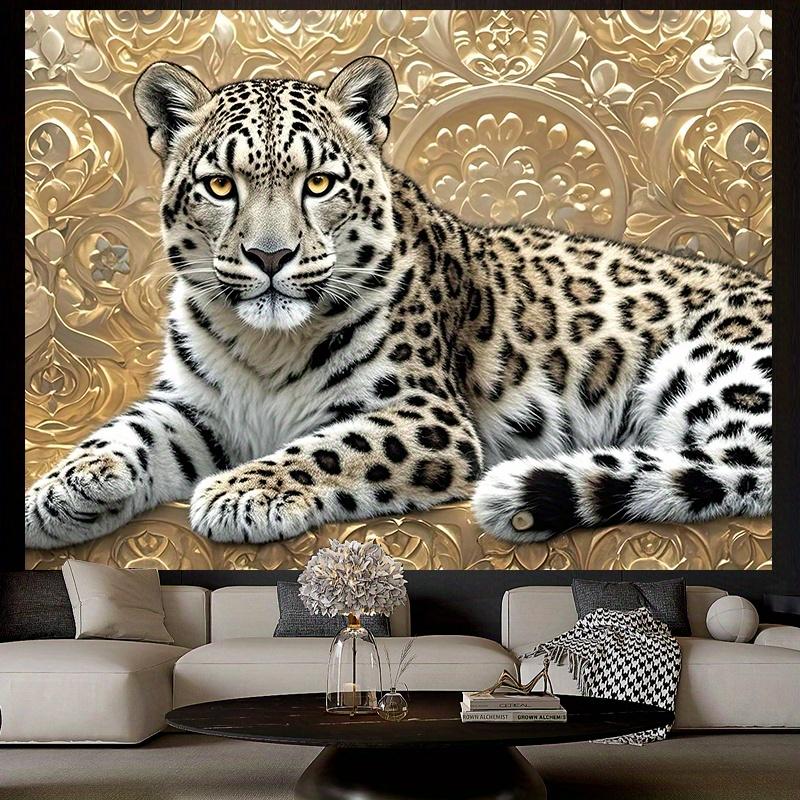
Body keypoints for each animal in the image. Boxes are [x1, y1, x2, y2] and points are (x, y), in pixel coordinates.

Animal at [25, 56, 772, 550]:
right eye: (219, 186)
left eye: (318, 183)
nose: (270, 257)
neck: (267, 346)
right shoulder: (194, 405)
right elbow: (129, 431)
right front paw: (65, 488)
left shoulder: (426, 414)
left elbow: (329, 448)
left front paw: (243, 492)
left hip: (715, 366)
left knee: (739, 467)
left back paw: (525, 491)